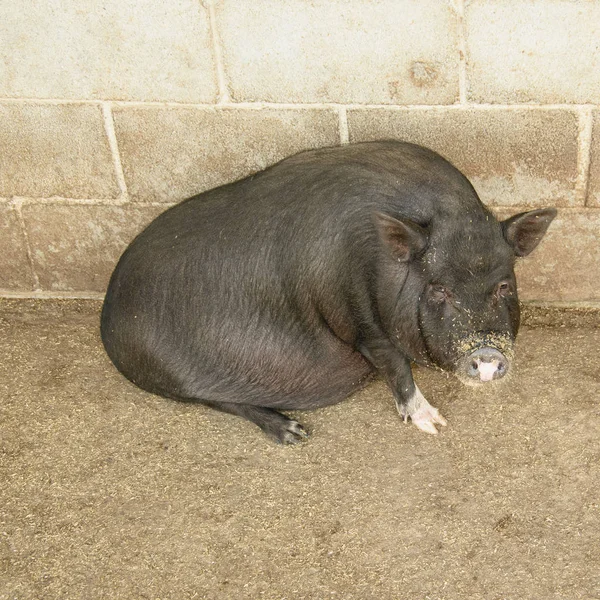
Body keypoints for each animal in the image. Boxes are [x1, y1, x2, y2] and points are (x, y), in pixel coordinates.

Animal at [101, 141, 556, 440]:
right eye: (438, 289)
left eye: (504, 284)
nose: (487, 354)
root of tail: (107, 316)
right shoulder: (356, 316)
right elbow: (395, 365)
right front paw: (433, 425)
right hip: (171, 375)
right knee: (216, 399)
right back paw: (295, 433)